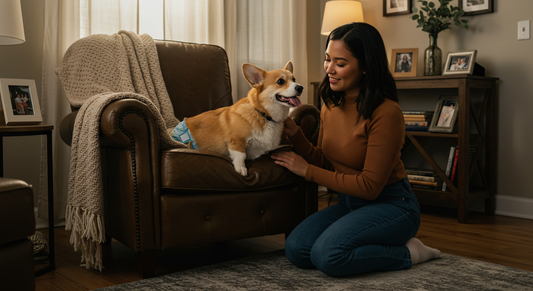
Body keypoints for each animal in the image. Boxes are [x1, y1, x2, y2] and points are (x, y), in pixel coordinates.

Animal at [171, 61, 304, 176]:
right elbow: (241, 156)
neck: (263, 114)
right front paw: (241, 169)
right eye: (280, 81)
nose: (300, 87)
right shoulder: (236, 141)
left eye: (294, 79)